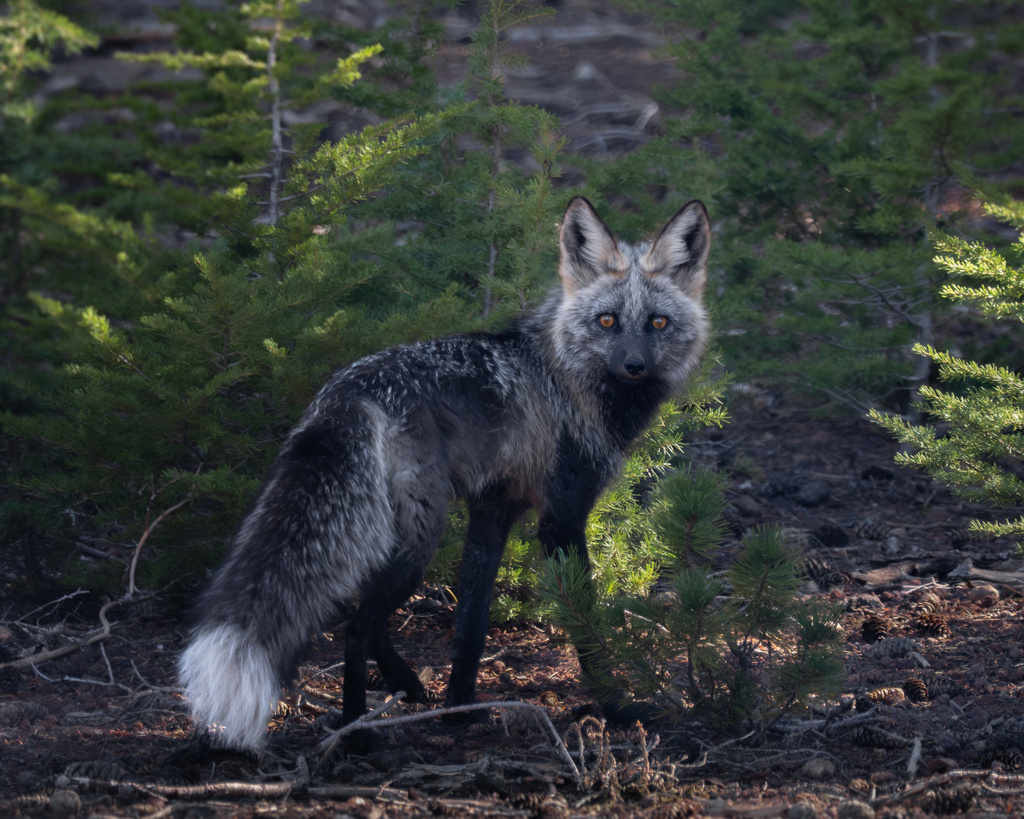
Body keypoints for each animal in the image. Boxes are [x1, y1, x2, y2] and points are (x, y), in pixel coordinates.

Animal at [178, 196, 711, 751]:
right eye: (607, 321)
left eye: (657, 324)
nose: (634, 366)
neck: (565, 376)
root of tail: (350, 389)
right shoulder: (561, 517)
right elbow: (583, 625)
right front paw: (616, 708)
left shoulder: (493, 508)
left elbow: (470, 624)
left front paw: (460, 708)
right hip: (421, 534)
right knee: (356, 627)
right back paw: (355, 729)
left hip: (394, 530)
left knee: (360, 614)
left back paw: (406, 686)